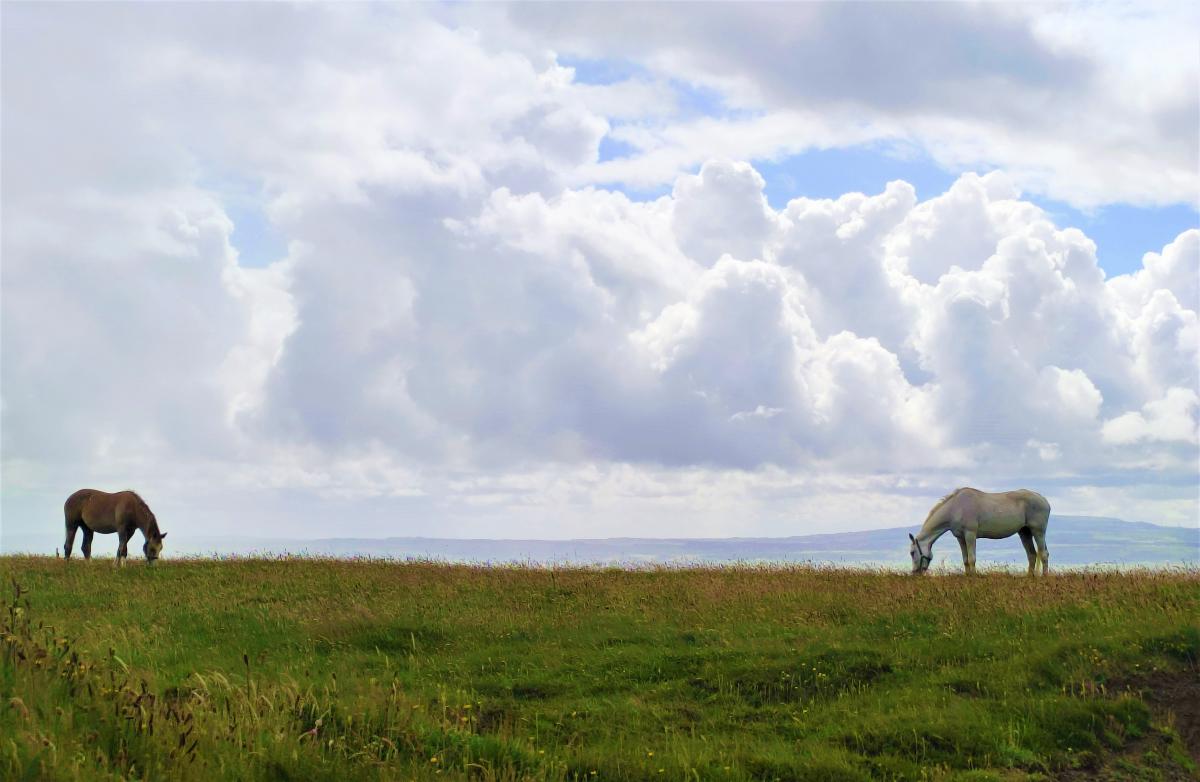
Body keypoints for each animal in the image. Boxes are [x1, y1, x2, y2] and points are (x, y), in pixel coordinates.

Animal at [907, 484, 1051, 578]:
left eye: (912, 552)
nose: (914, 573)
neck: (955, 507)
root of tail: (1043, 499)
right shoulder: (960, 538)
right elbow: (965, 559)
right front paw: (968, 576)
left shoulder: (970, 534)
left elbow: (972, 558)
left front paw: (974, 577)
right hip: (1024, 532)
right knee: (1032, 554)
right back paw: (1029, 576)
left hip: (1038, 531)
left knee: (1043, 554)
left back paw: (1044, 577)